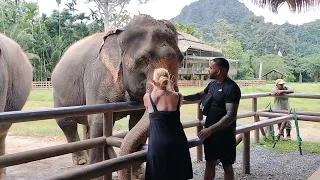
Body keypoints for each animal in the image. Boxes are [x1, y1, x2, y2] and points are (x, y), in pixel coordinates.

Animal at [51, 14, 184, 179]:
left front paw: (138, 174)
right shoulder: (97, 77)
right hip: (57, 92)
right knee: (67, 123)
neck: (120, 34)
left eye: (181, 59)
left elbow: (135, 121)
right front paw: (97, 175)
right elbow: (98, 121)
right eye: (143, 60)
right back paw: (82, 162)